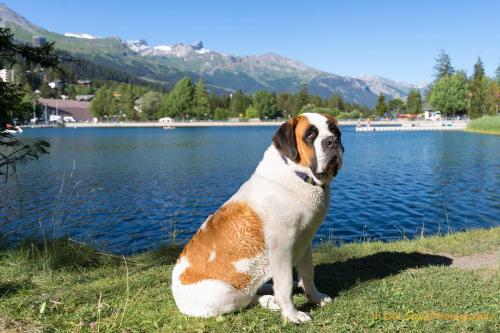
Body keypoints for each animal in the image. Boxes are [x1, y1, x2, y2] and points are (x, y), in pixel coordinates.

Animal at [172, 111, 344, 322]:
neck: (297, 174)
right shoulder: (281, 248)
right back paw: (270, 300)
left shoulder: (305, 242)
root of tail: (176, 295)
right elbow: (285, 284)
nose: (332, 141)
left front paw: (316, 298)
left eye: (334, 130)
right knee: (246, 300)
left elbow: (308, 274)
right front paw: (292, 315)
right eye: (310, 135)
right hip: (224, 294)